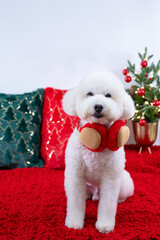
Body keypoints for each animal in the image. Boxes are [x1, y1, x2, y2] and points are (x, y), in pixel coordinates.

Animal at [62, 72, 135, 233]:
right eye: (89, 94)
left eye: (108, 95)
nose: (98, 106)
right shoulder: (75, 175)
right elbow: (75, 202)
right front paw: (74, 222)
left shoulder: (110, 178)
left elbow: (108, 204)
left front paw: (105, 224)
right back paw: (87, 197)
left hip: (123, 183)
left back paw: (119, 199)